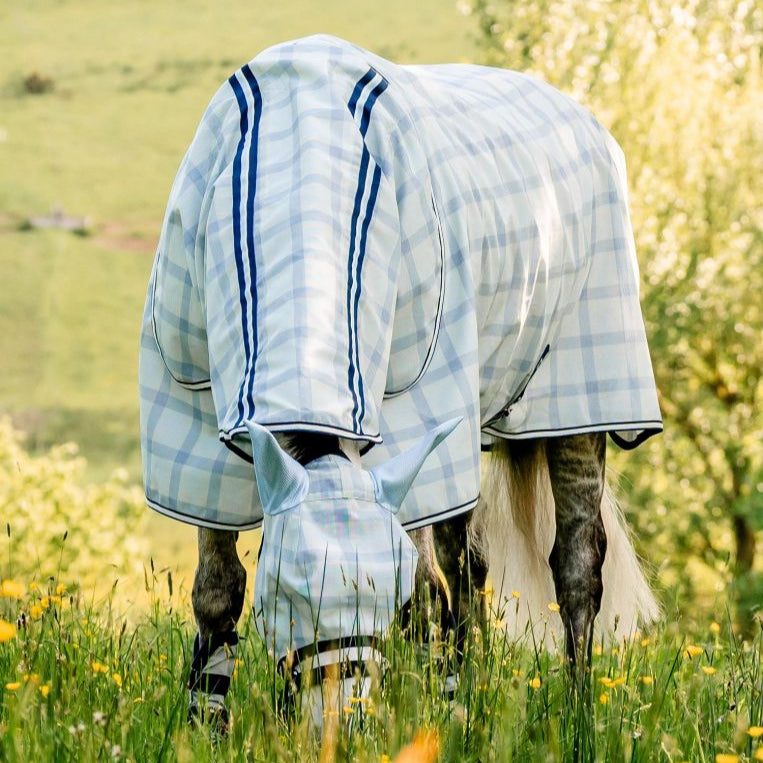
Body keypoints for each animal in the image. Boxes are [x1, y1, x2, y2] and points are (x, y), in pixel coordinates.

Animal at [139, 35, 662, 727]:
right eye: (289, 592)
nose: (344, 724)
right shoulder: (199, 438)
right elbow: (217, 592)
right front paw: (205, 726)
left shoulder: (412, 419)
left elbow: (421, 593)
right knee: (466, 569)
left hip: (581, 404)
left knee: (575, 566)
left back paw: (573, 716)